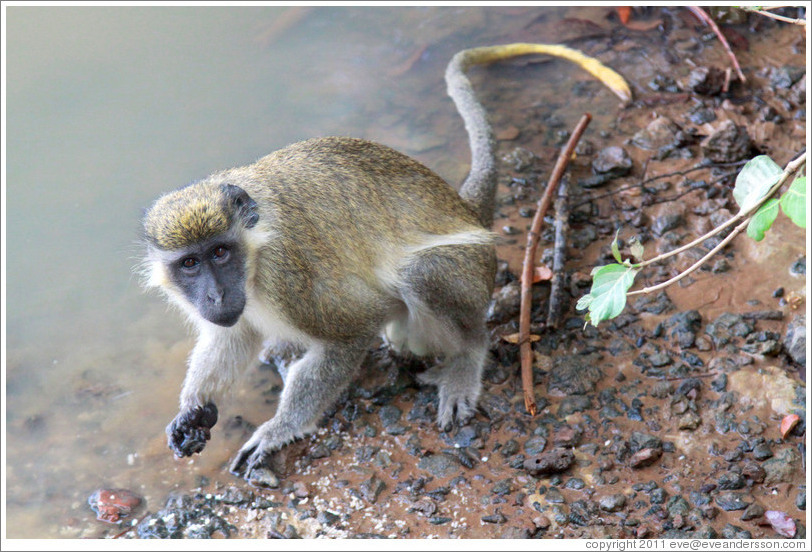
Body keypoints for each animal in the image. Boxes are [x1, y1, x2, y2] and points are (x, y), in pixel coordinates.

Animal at [143, 43, 632, 480]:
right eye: (190, 264)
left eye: (220, 252)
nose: (213, 294)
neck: (255, 254)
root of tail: (468, 210)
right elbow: (232, 336)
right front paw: (193, 408)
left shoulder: (290, 278)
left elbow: (349, 336)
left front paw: (280, 429)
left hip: (472, 268)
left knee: (424, 276)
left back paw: (467, 357)